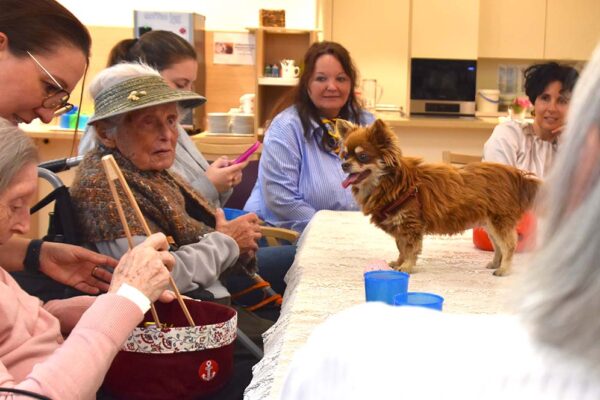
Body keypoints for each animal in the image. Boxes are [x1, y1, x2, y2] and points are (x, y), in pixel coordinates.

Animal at [338, 119, 540, 276]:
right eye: (344, 155)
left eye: (363, 156)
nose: (343, 165)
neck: (391, 183)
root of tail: (515, 174)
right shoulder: (401, 228)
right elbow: (401, 248)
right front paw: (399, 262)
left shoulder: (411, 225)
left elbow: (410, 249)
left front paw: (407, 267)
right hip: (490, 224)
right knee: (498, 246)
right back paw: (495, 263)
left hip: (499, 222)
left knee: (509, 245)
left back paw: (504, 269)